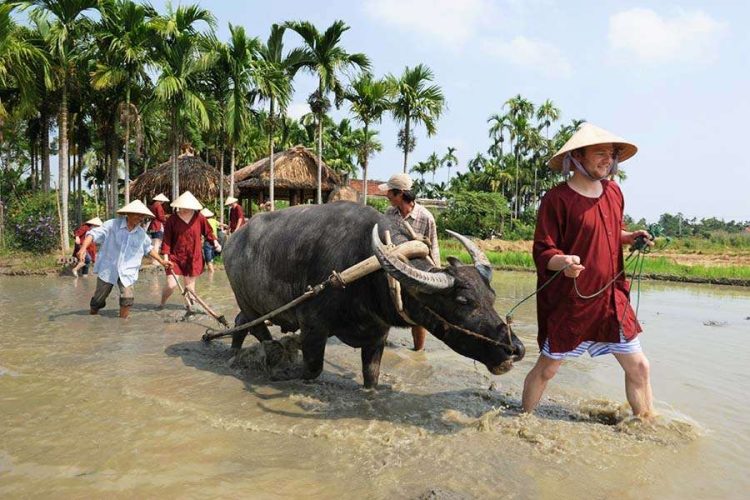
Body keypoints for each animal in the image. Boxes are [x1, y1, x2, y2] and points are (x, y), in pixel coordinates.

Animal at [223, 201, 524, 388]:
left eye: (491, 297)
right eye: (463, 301)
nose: (515, 349)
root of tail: (232, 241)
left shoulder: (377, 335)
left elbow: (372, 377)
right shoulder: (313, 327)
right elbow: (312, 369)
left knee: (240, 323)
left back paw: (234, 354)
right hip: (248, 301)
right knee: (259, 332)